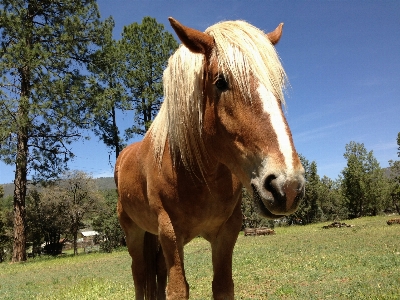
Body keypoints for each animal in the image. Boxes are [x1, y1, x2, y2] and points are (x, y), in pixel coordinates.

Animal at [114, 17, 304, 298]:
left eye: (276, 85)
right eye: (221, 82)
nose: (287, 186)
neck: (199, 174)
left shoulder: (227, 232)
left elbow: (223, 286)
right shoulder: (169, 232)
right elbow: (178, 290)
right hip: (134, 233)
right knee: (139, 274)